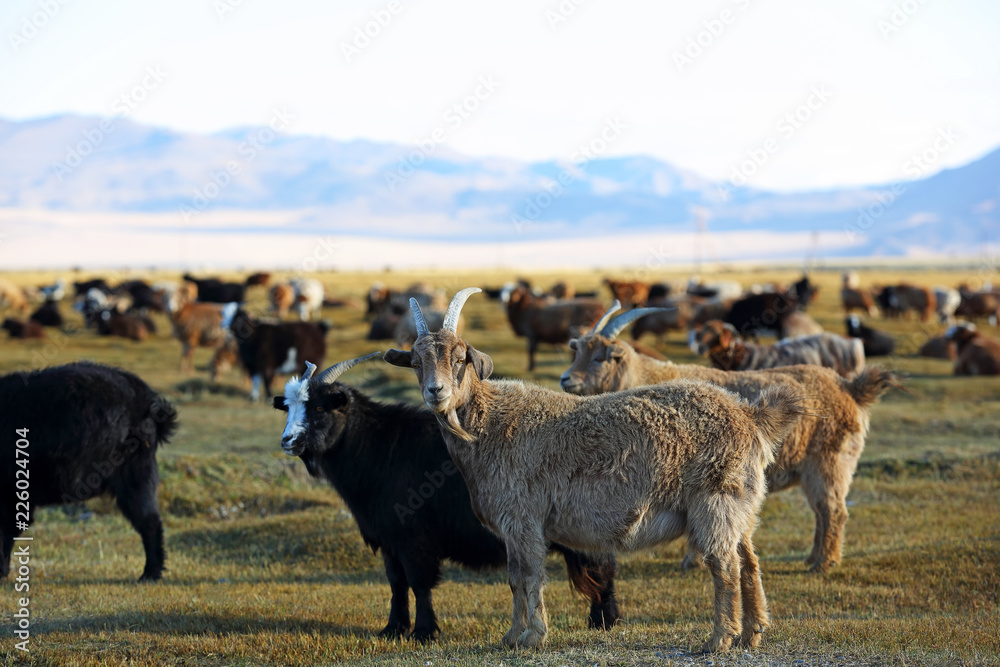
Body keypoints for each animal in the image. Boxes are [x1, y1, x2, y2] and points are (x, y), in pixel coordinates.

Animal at [274, 353, 620, 640]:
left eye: (320, 407)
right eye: (288, 408)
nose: (287, 440)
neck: (377, 446)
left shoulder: (415, 538)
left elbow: (419, 583)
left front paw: (424, 632)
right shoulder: (389, 539)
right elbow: (396, 583)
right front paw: (393, 628)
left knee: (602, 569)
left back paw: (605, 621)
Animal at [385, 289, 806, 652]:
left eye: (460, 359)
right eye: (417, 363)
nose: (436, 392)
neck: (489, 426)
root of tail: (749, 415)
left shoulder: (523, 518)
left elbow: (528, 575)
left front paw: (531, 636)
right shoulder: (513, 526)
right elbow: (514, 577)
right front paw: (511, 636)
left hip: (714, 500)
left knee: (725, 564)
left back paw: (719, 639)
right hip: (741, 503)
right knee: (748, 559)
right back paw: (752, 633)